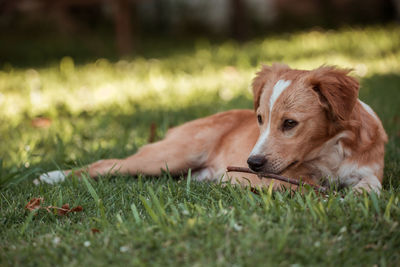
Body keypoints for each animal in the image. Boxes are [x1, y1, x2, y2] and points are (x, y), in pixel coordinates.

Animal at [39, 63, 388, 194]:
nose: (252, 163)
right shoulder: (279, 177)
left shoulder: (370, 167)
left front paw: (356, 195)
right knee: (104, 164)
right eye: (260, 119)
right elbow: (302, 186)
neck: (329, 151)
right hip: (169, 156)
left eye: (289, 124)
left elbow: (370, 185)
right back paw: (51, 176)